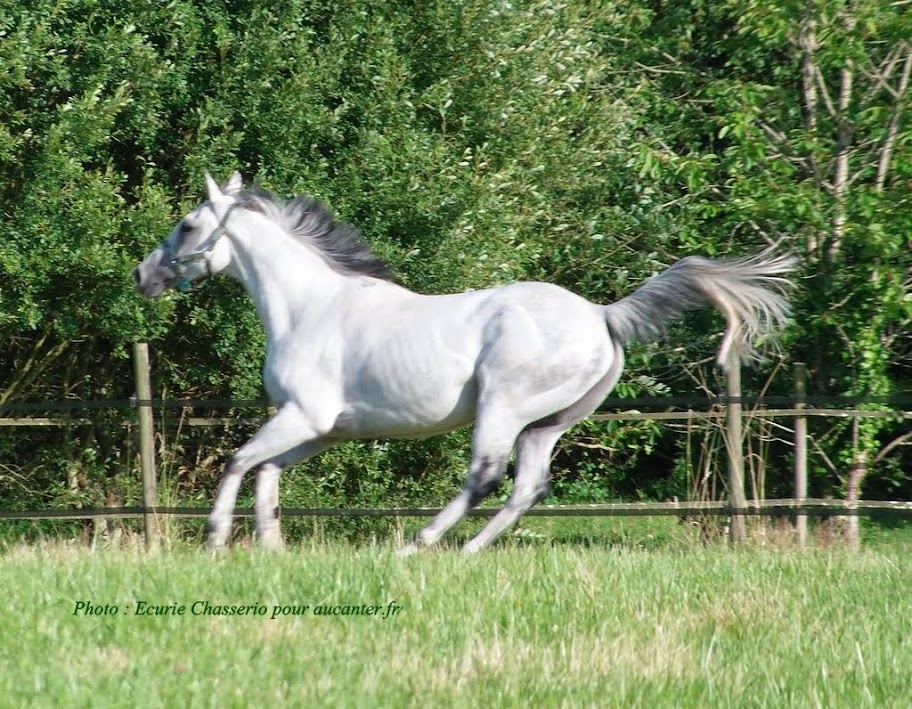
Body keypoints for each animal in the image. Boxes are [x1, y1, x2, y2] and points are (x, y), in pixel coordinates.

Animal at [132, 171, 796, 552]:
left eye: (187, 225)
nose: (143, 275)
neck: (308, 307)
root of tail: (602, 315)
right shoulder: (324, 428)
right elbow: (267, 470)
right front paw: (271, 548)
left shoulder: (304, 415)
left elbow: (238, 459)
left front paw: (216, 539)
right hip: (547, 424)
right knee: (526, 488)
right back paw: (469, 552)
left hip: (502, 408)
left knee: (484, 478)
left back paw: (417, 545)